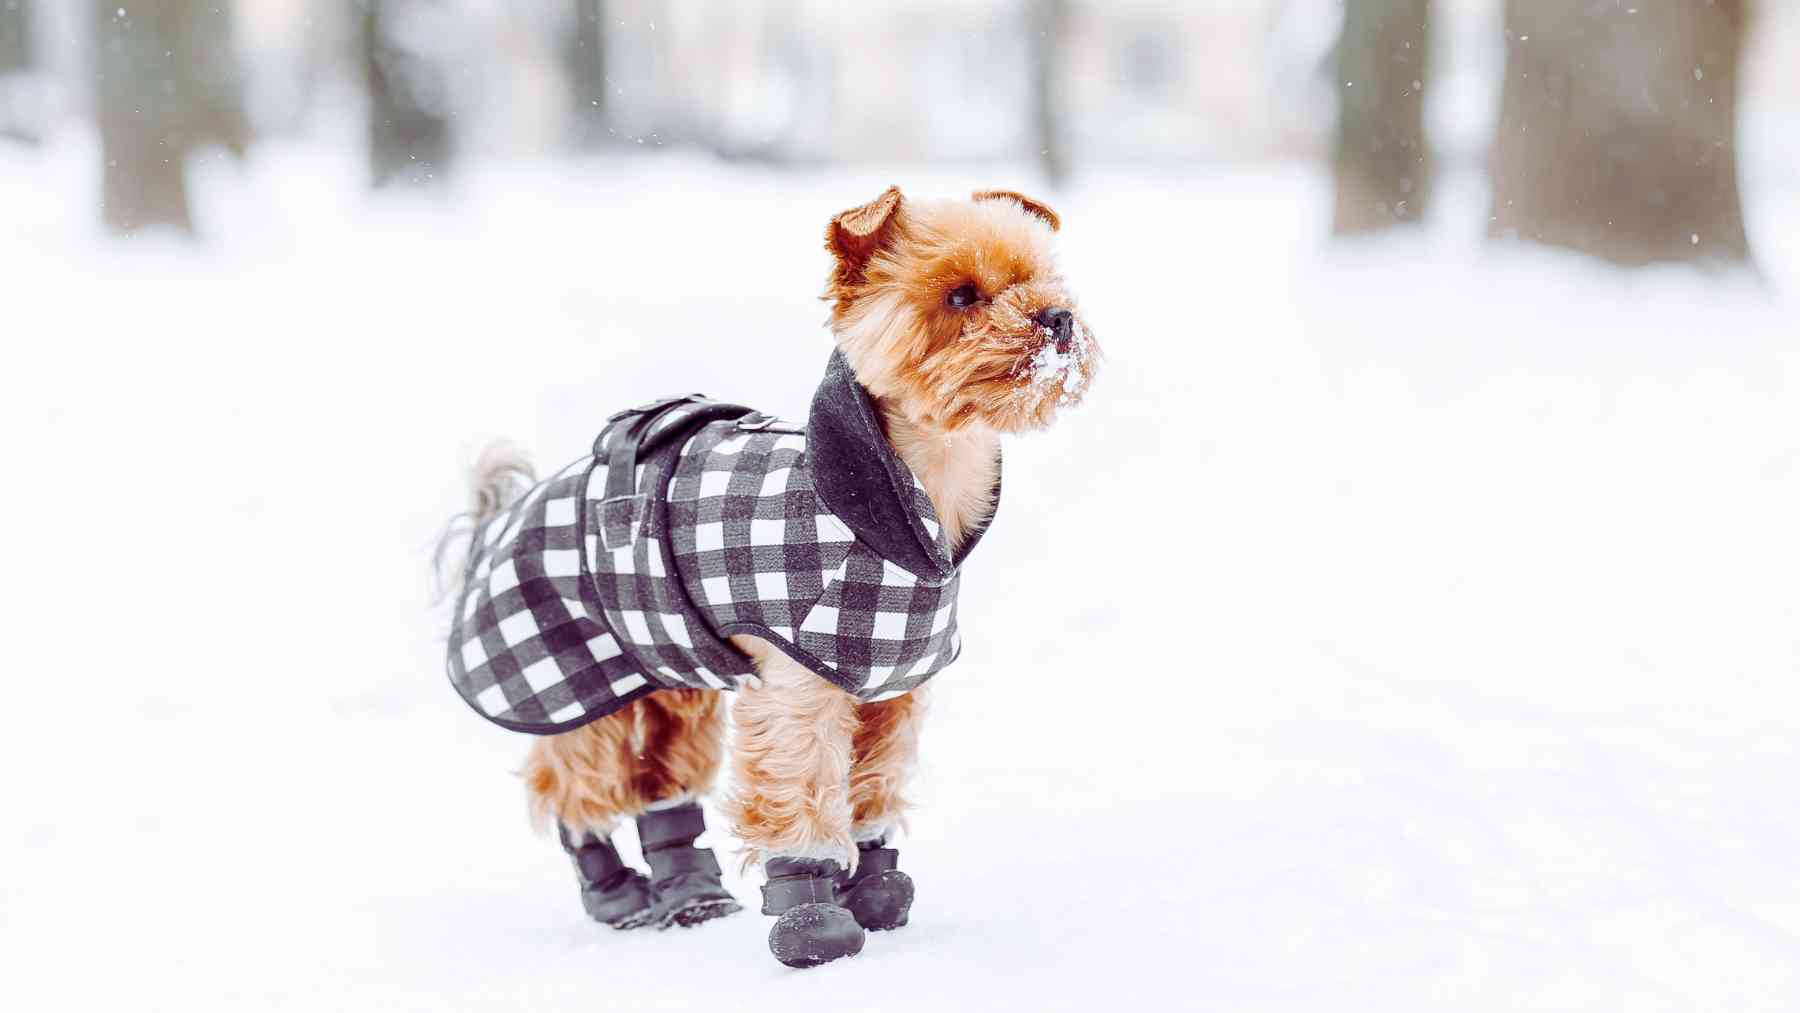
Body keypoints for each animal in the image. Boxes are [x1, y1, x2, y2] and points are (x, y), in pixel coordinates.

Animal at [450, 186, 1094, 971]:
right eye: (961, 294)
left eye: (1041, 278)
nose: (1057, 317)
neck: (905, 504)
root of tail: (499, 521)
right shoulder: (797, 693)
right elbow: (801, 794)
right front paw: (812, 920)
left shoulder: (892, 691)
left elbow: (872, 788)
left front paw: (875, 889)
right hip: (580, 681)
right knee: (572, 787)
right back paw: (616, 893)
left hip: (670, 679)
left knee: (663, 783)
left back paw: (692, 895)